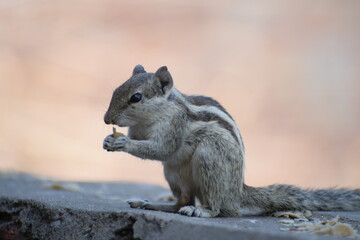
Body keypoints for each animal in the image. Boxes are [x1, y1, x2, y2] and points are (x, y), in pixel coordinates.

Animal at [102, 64, 360, 218]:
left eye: (136, 97)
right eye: (115, 90)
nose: (107, 119)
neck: (153, 115)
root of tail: (237, 193)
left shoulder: (174, 125)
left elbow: (161, 149)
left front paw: (123, 144)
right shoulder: (139, 129)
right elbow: (142, 141)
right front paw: (108, 140)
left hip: (209, 157)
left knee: (217, 208)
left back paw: (202, 212)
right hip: (173, 174)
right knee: (182, 200)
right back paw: (152, 205)